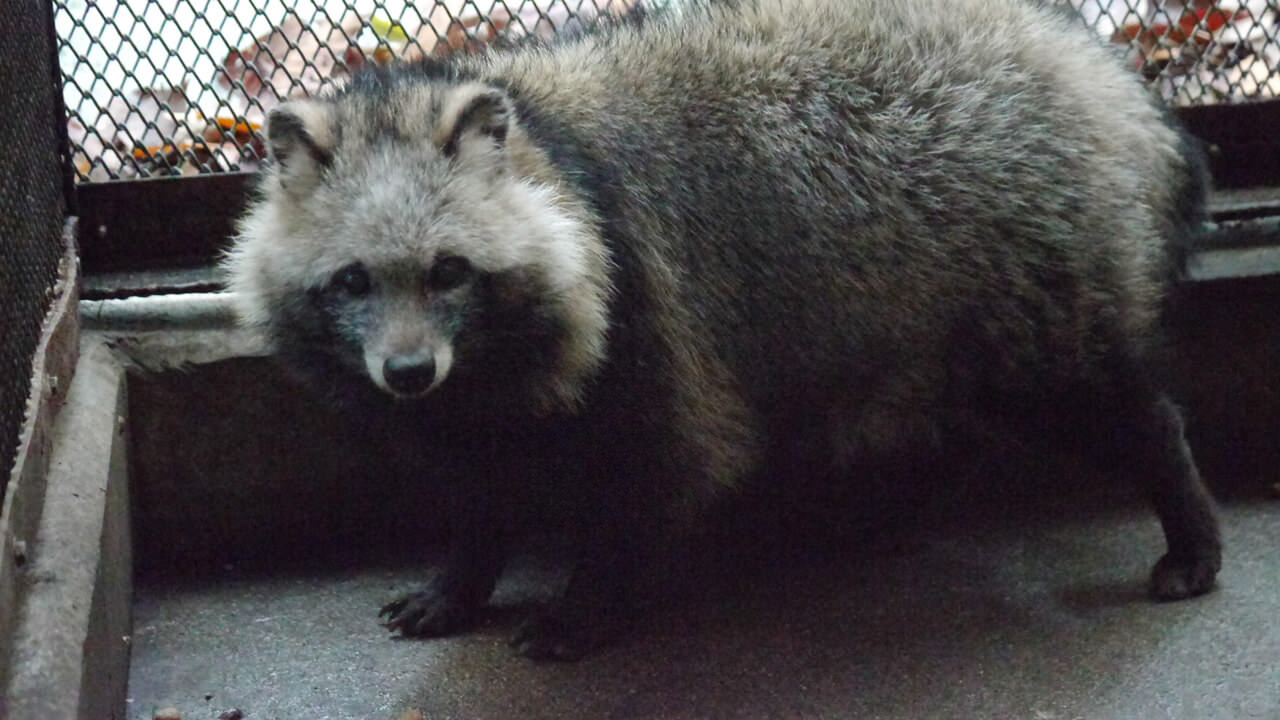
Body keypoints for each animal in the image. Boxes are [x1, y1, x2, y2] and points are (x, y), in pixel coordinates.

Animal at [227, 0, 1218, 661]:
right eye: (353, 280)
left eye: (448, 271)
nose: (406, 371)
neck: (540, 144)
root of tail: (1100, 69)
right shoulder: (473, 395)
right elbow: (483, 480)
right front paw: (463, 573)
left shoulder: (646, 315)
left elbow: (655, 476)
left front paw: (591, 598)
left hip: (1028, 265)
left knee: (1091, 397)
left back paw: (1181, 507)